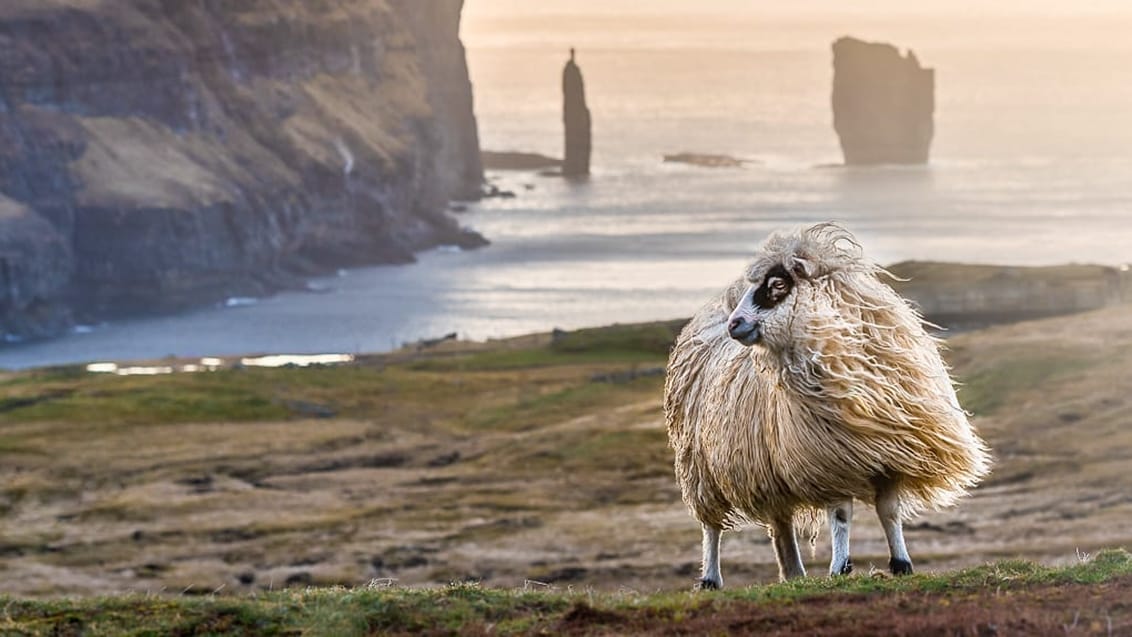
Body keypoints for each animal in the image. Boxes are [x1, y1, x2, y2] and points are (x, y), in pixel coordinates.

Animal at [661, 224, 991, 588]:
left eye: (777, 286)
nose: (735, 324)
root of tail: (714, 313)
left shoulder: (890, 457)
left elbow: (889, 512)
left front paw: (902, 563)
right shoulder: (829, 460)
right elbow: (842, 514)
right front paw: (840, 566)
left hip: (768, 468)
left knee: (780, 523)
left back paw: (793, 572)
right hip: (699, 466)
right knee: (711, 525)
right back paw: (710, 577)